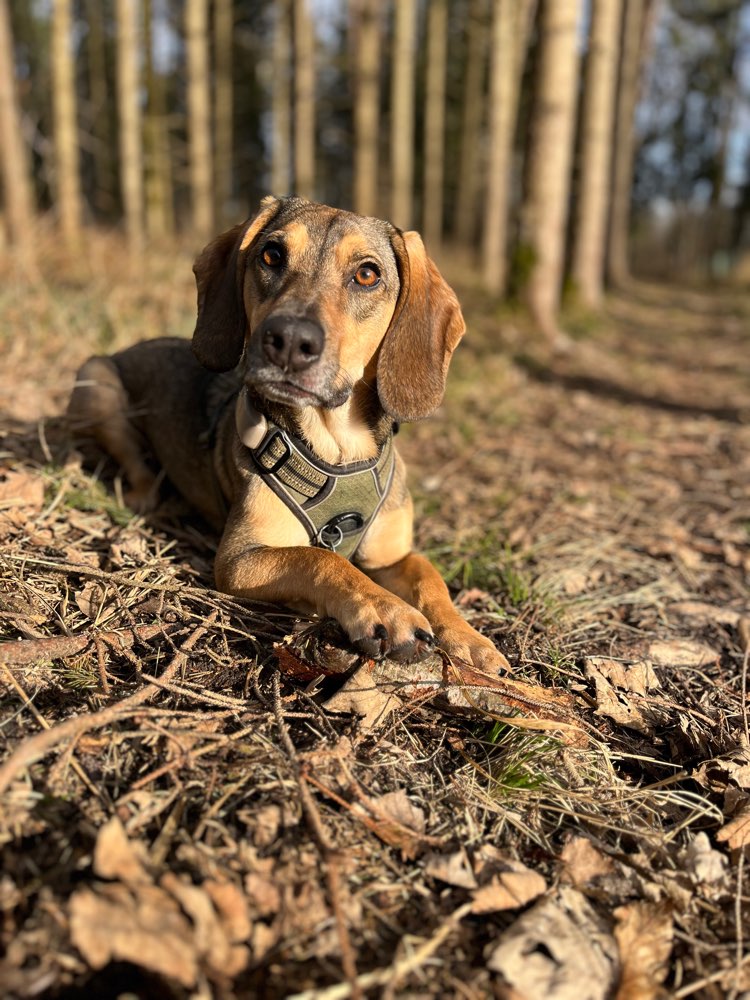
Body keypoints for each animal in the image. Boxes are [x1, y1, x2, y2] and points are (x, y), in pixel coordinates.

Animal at [69, 195, 512, 672]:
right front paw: (388, 611)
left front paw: (470, 639)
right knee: (137, 465)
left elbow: (430, 577)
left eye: (367, 274)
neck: (338, 451)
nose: (289, 339)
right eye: (272, 255)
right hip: (97, 382)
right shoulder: (240, 558)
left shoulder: (392, 555)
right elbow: (320, 559)